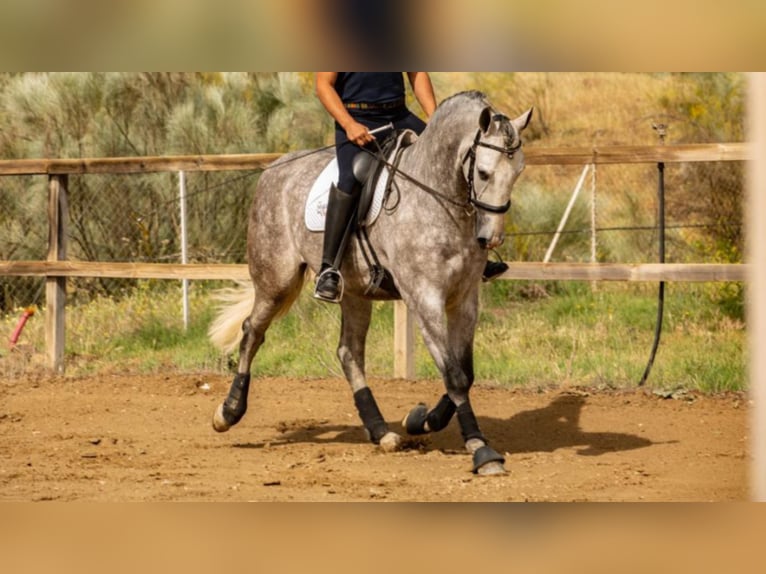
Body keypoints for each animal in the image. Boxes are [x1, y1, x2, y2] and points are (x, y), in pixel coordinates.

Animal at [210, 90, 536, 476]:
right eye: (484, 172)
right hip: (276, 279)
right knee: (252, 332)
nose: (491, 238)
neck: (439, 199)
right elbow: (454, 374)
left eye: (518, 171)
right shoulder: (424, 297)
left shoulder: (465, 298)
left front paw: (421, 420)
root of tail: (275, 168)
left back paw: (381, 432)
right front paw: (481, 450)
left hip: (354, 291)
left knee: (348, 352)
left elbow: (465, 372)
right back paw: (228, 412)